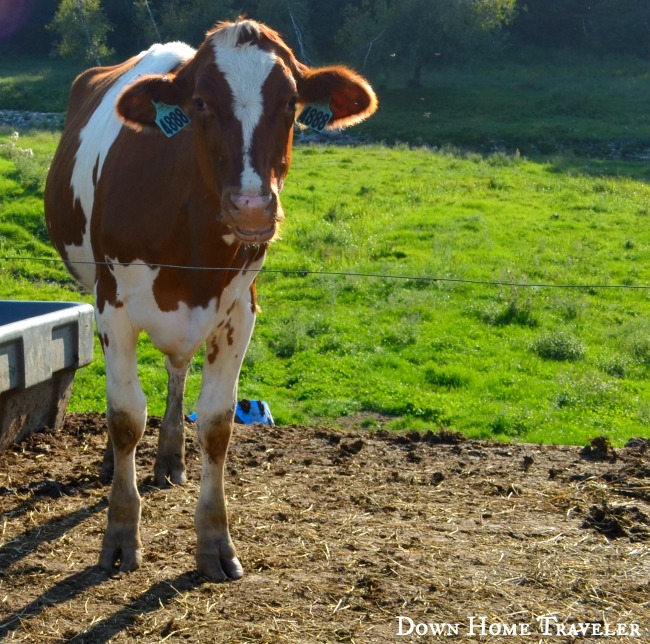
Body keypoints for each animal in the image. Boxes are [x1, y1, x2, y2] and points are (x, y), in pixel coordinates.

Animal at [45, 18, 374, 580]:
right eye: (199, 102)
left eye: (291, 101)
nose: (252, 207)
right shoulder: (113, 305)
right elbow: (125, 416)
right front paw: (120, 534)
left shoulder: (240, 312)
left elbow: (217, 424)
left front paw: (215, 541)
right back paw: (118, 463)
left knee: (177, 372)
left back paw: (170, 459)